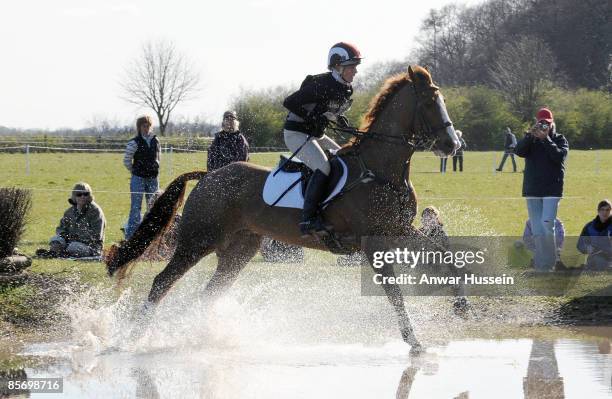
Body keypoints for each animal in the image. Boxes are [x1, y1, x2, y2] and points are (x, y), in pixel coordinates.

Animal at [106, 65, 460, 354]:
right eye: (429, 103)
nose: (452, 145)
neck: (381, 170)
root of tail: (208, 176)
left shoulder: (398, 230)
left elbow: (443, 255)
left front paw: (458, 303)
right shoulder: (373, 242)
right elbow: (394, 292)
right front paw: (414, 340)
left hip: (239, 250)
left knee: (210, 292)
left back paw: (203, 337)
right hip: (198, 240)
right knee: (162, 282)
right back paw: (131, 339)